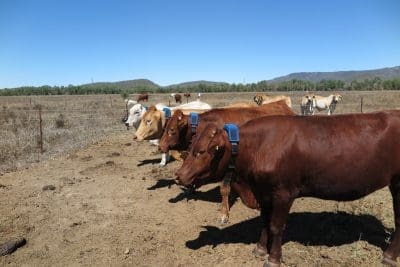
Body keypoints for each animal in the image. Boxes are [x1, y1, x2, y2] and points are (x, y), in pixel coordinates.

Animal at [177, 110, 400, 266]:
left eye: (201, 151)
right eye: (190, 147)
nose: (179, 176)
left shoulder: (284, 193)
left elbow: (277, 226)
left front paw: (273, 258)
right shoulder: (264, 192)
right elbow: (265, 221)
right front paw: (260, 249)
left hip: (397, 183)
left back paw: (389, 256)